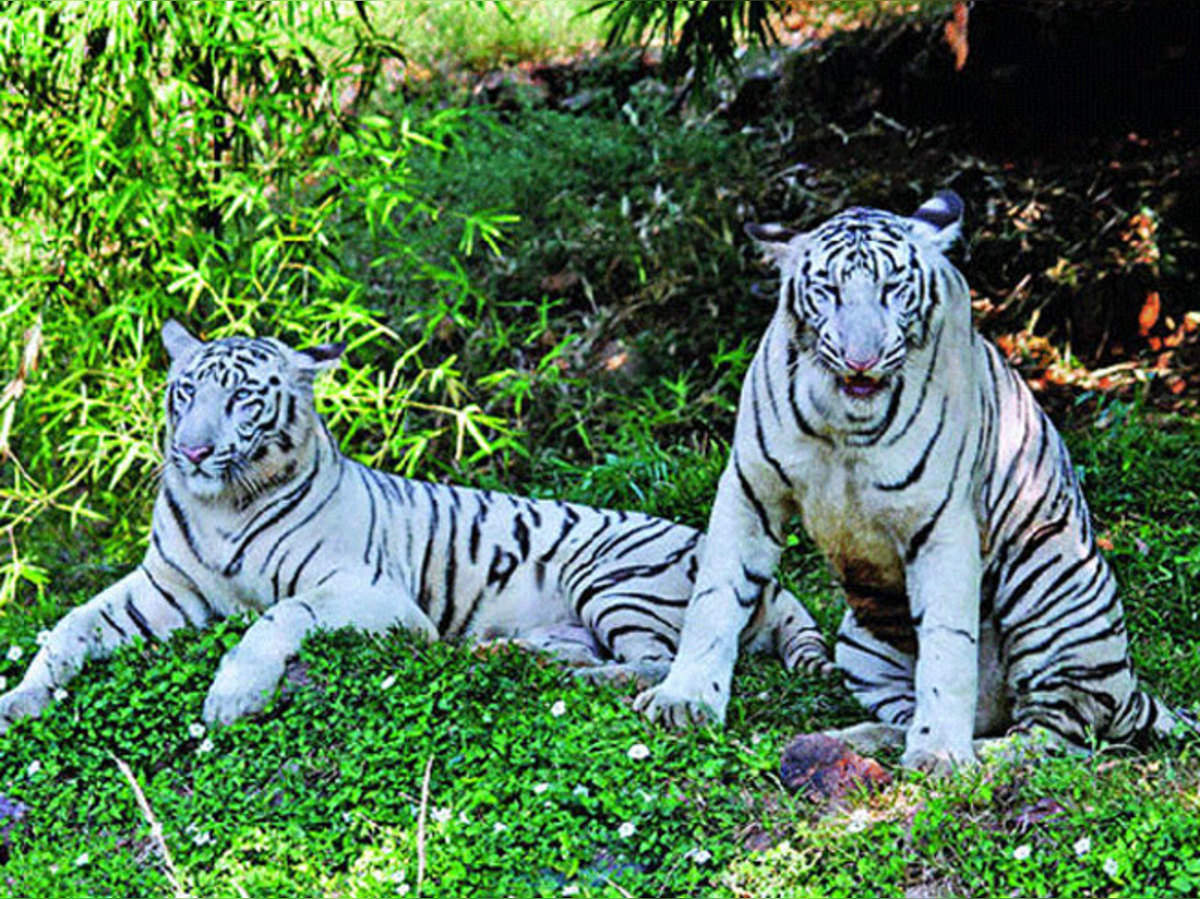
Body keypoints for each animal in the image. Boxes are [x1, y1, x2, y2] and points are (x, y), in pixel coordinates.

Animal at [0, 321, 835, 734]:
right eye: (184, 393)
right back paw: (513, 652)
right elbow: (70, 624)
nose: (194, 450)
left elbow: (280, 611)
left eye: (242, 399)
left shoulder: (371, 595)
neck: (223, 506)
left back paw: (576, 674)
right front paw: (22, 695)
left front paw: (232, 695)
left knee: (652, 659)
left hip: (612, 575)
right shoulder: (163, 587)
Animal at [633, 190, 1195, 772]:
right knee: (922, 716)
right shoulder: (751, 492)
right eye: (829, 290)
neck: (844, 421)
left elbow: (947, 646)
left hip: (1049, 584)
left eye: (892, 289)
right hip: (858, 641)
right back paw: (854, 740)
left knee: (1055, 735)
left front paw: (941, 754)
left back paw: (974, 754)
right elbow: (714, 596)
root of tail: (1133, 690)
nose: (861, 360)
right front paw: (684, 699)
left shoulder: (939, 523)